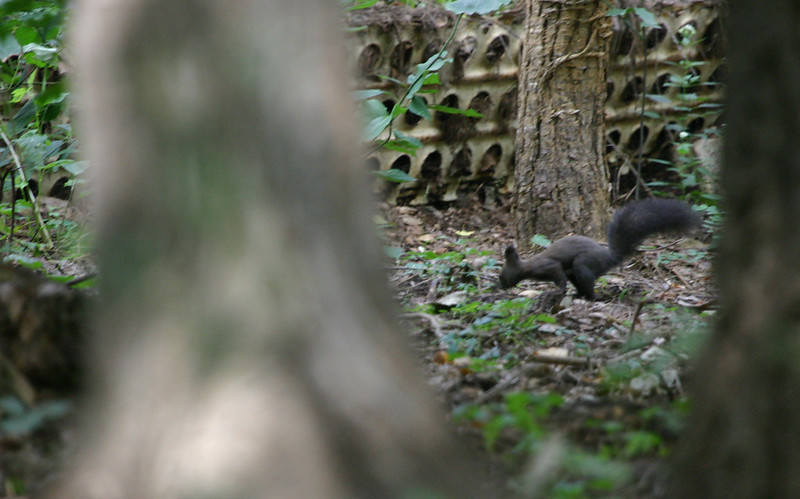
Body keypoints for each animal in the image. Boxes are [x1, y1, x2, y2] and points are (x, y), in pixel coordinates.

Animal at [498, 198, 700, 299]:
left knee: (588, 287)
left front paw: (558, 290)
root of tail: (610, 257)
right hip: (576, 272)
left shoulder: (548, 266)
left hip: (583, 264)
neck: (527, 267)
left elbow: (559, 277)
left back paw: (587, 297)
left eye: (501, 275)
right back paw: (578, 295)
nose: (498, 286)